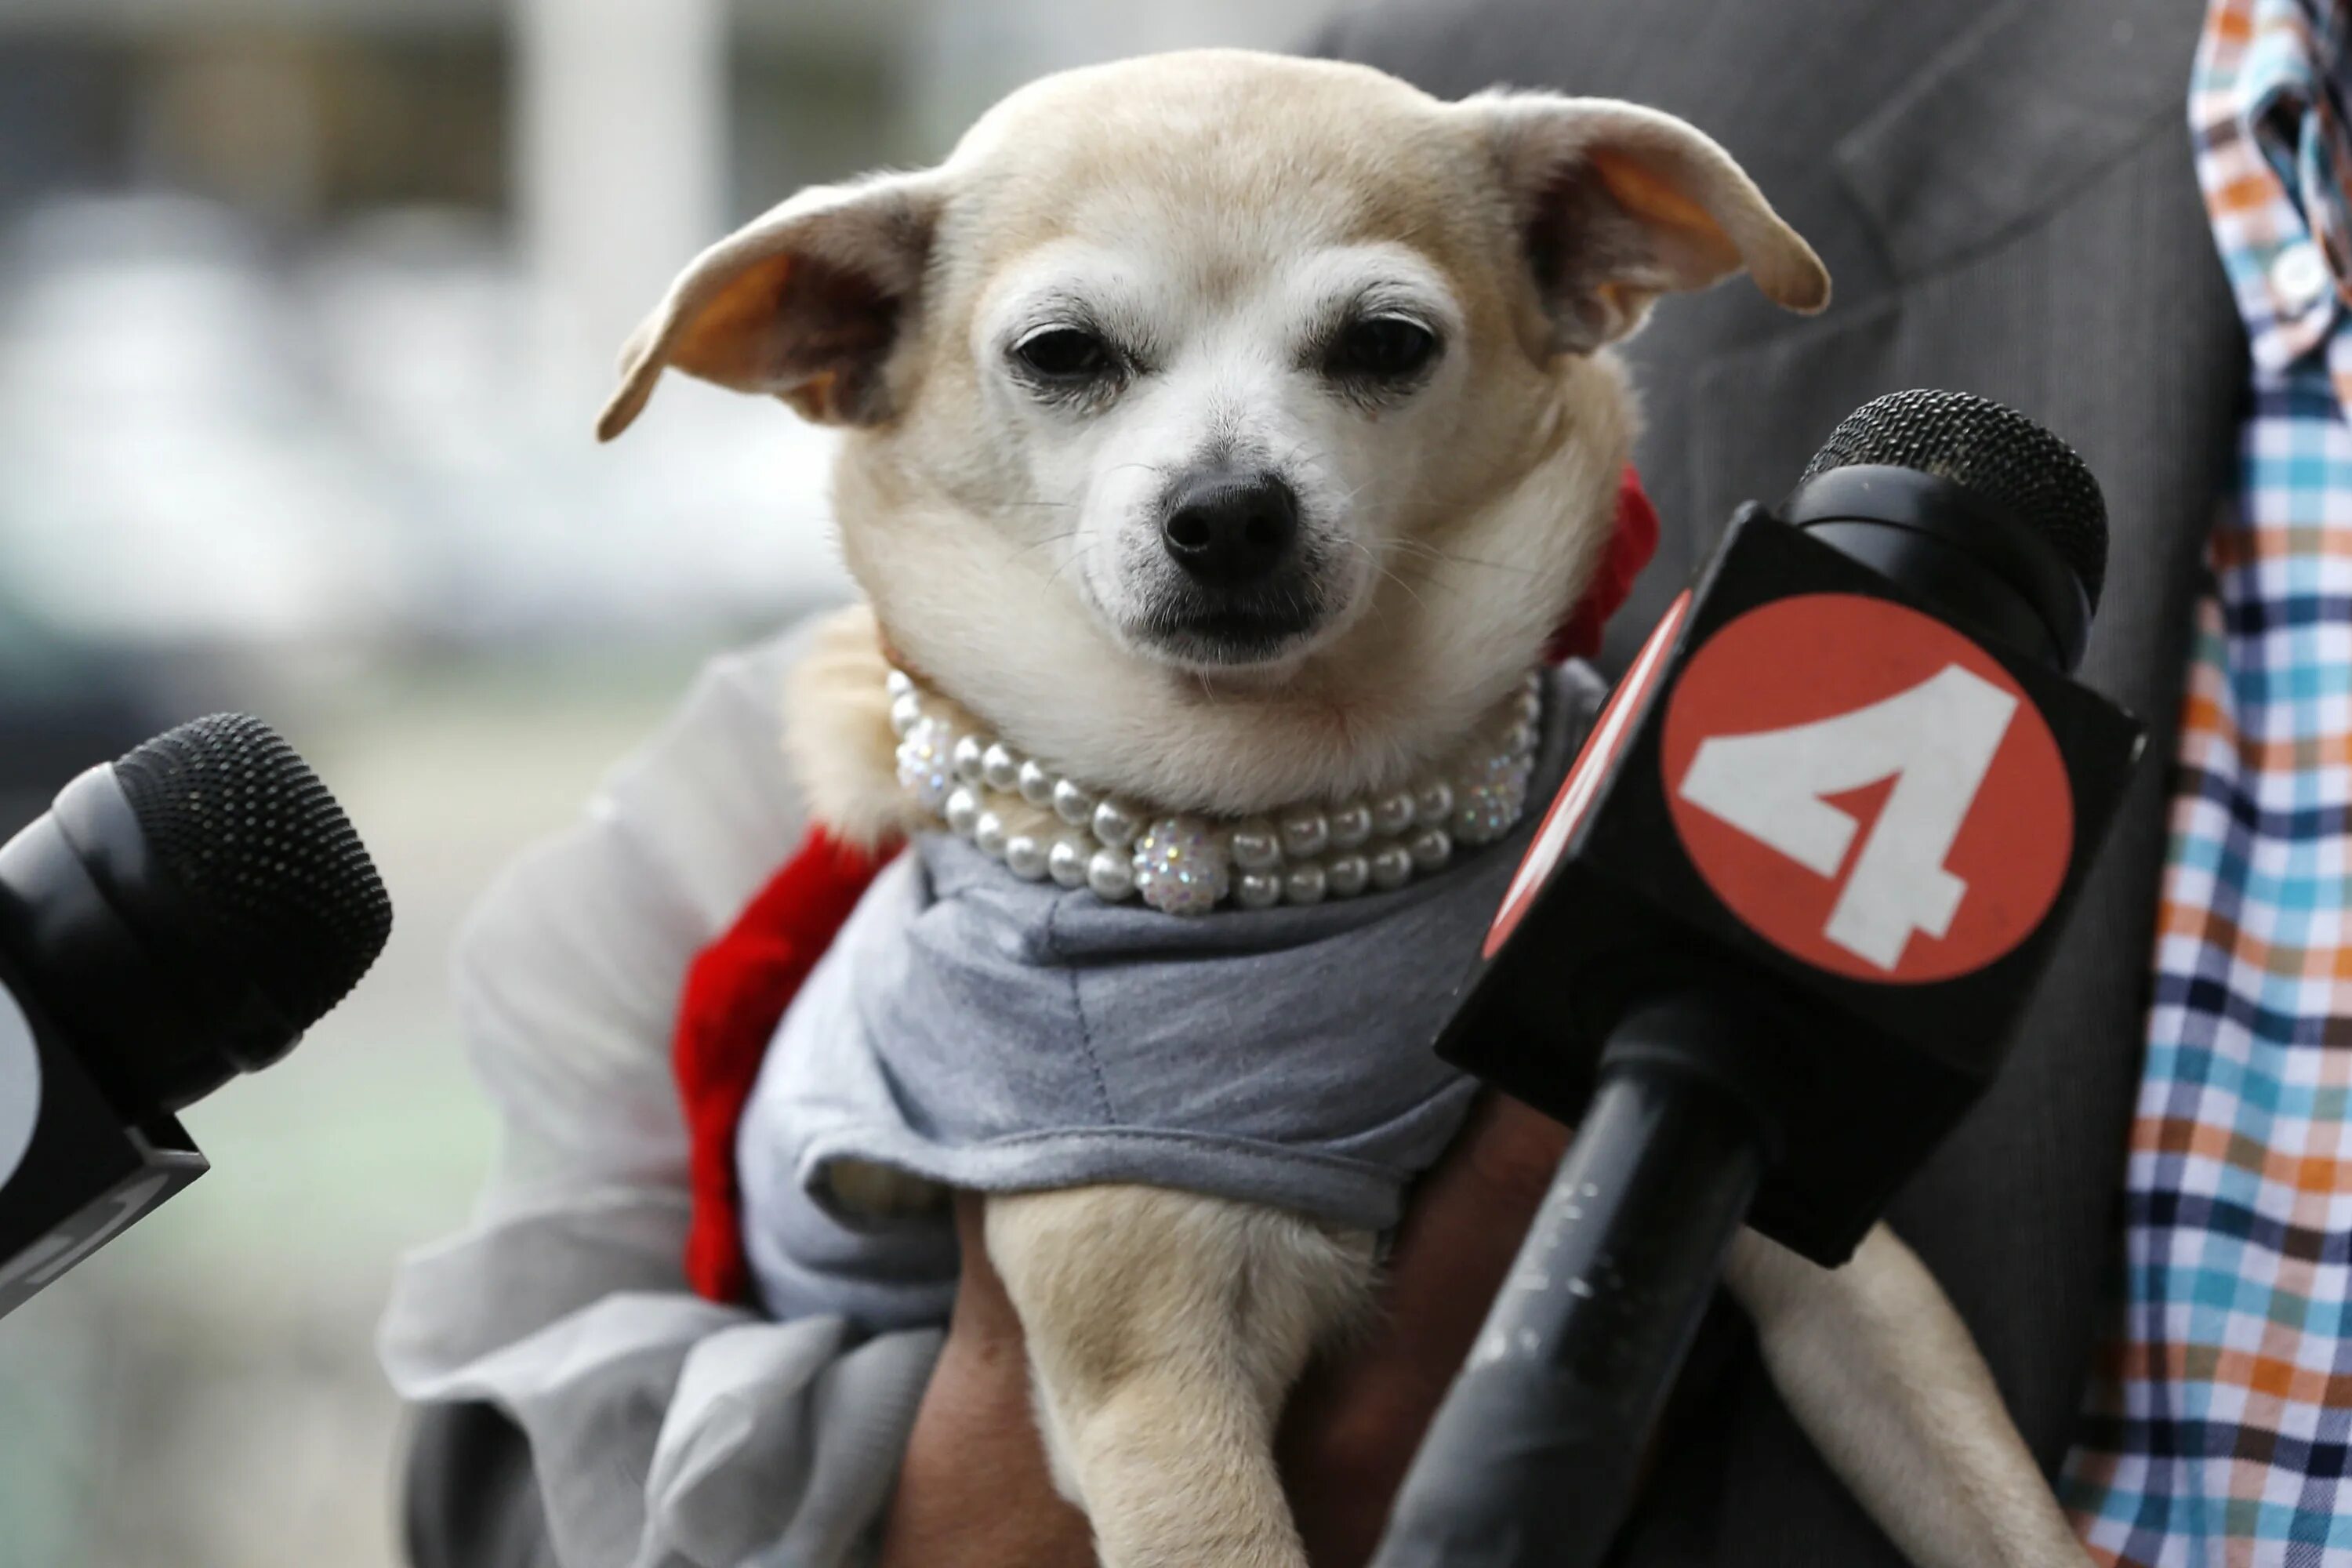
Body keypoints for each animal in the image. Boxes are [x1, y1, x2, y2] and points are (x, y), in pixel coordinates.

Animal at [597, 49, 2089, 1568]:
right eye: (1061, 354)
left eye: (1386, 345)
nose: (1228, 510)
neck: (1296, 804)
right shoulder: (1159, 1404)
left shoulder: (1794, 1223)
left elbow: (2002, 1510)